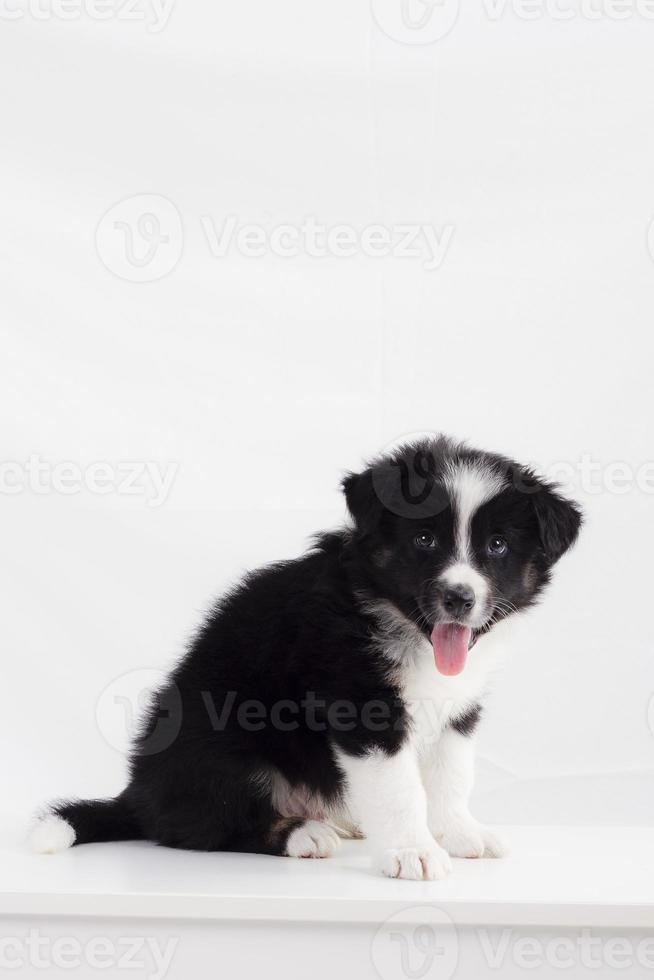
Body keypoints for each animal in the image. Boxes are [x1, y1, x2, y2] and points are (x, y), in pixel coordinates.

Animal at [32, 436, 584, 880]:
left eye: (497, 546)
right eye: (425, 540)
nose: (459, 598)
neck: (407, 629)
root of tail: (138, 793)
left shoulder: (457, 709)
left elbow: (450, 775)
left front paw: (459, 833)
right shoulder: (363, 703)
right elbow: (399, 787)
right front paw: (413, 851)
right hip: (221, 744)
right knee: (207, 821)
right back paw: (304, 833)